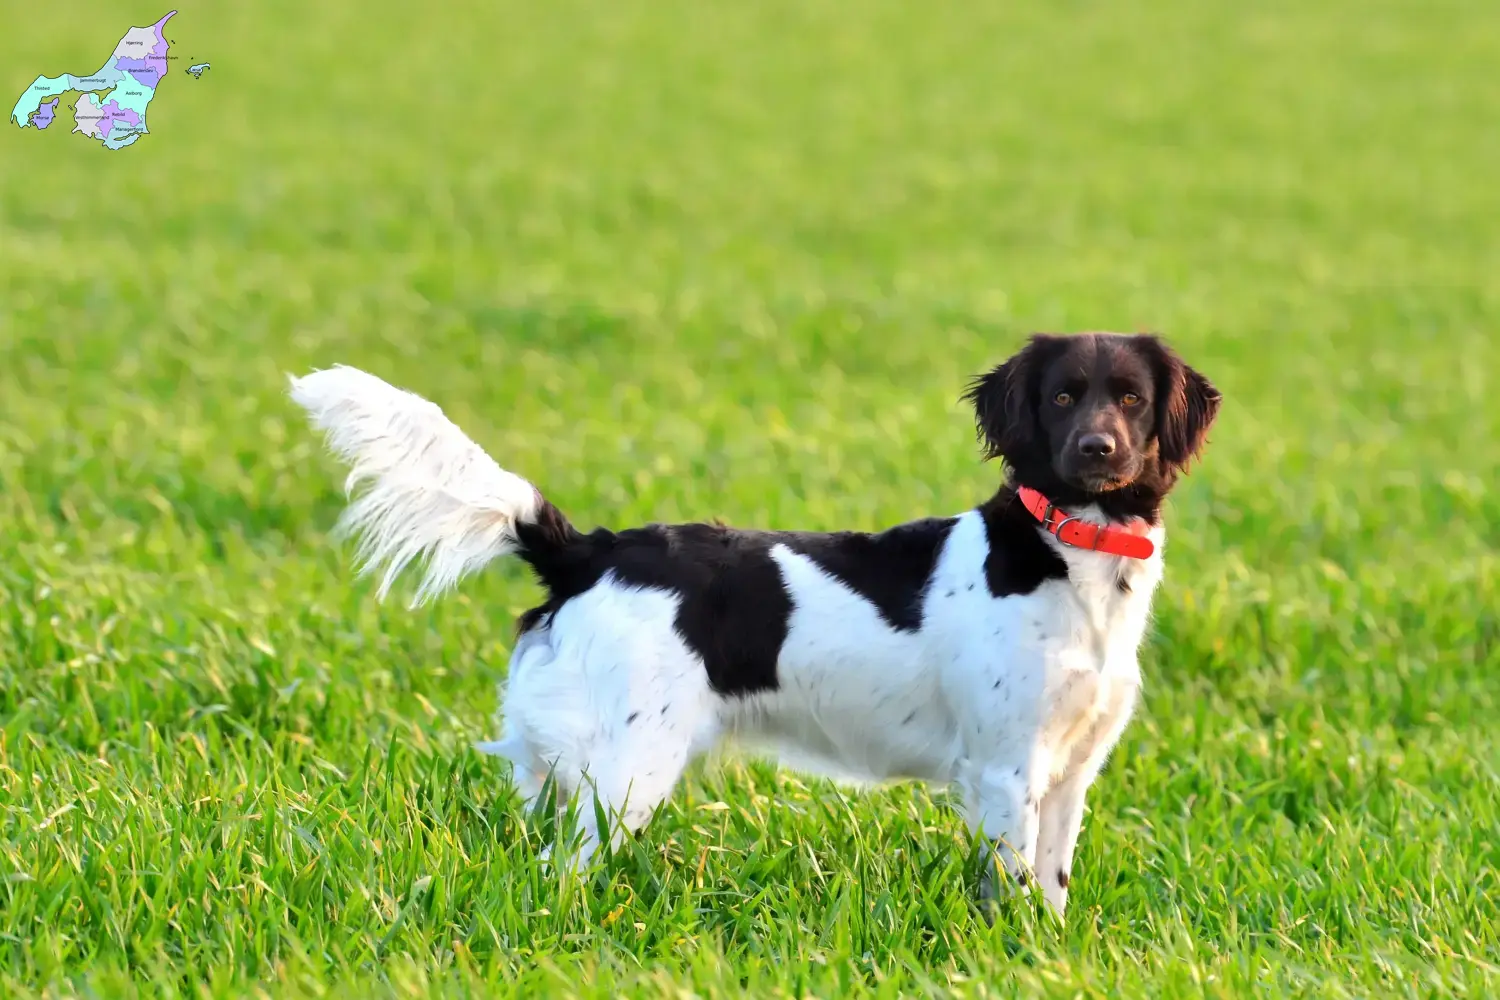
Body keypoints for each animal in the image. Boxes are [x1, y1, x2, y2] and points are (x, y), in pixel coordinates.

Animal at [289, 332, 1218, 917]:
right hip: (626, 769)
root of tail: (588, 550)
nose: (1097, 449)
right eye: (1062, 397)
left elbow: (1052, 888)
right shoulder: (1004, 769)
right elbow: (1015, 886)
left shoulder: (1069, 773)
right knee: (559, 873)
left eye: (1130, 399)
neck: (1069, 553)